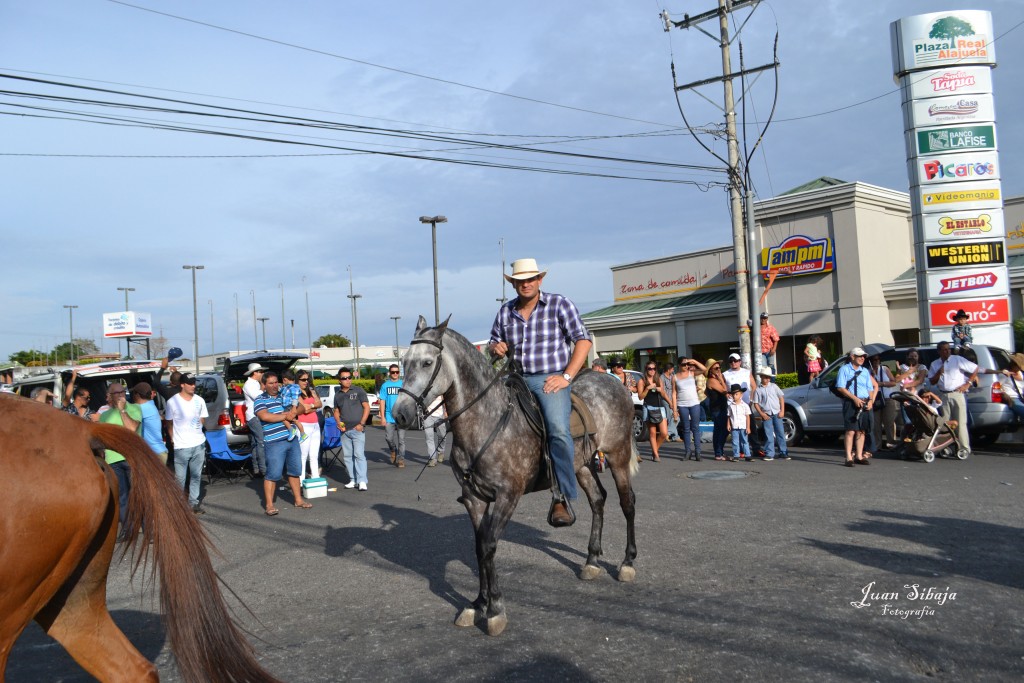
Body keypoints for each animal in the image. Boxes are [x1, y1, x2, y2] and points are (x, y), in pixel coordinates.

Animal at [391, 317, 638, 638]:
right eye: (403, 362)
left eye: (427, 362)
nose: (400, 414)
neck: (487, 421)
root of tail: (613, 382)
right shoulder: (473, 498)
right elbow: (479, 547)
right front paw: (478, 603)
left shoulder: (508, 496)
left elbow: (489, 546)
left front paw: (495, 609)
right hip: (581, 464)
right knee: (598, 500)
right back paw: (592, 560)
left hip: (618, 455)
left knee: (627, 503)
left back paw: (627, 562)